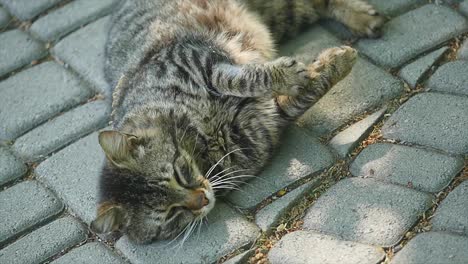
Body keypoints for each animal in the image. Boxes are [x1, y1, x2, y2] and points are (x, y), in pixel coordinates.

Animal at [90, 0, 384, 243]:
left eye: (178, 173)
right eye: (172, 214)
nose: (202, 199)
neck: (200, 140)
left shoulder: (201, 59)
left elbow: (243, 79)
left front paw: (290, 74)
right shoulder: (265, 126)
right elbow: (308, 91)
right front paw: (332, 65)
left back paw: (362, 17)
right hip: (285, 15)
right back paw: (363, 19)